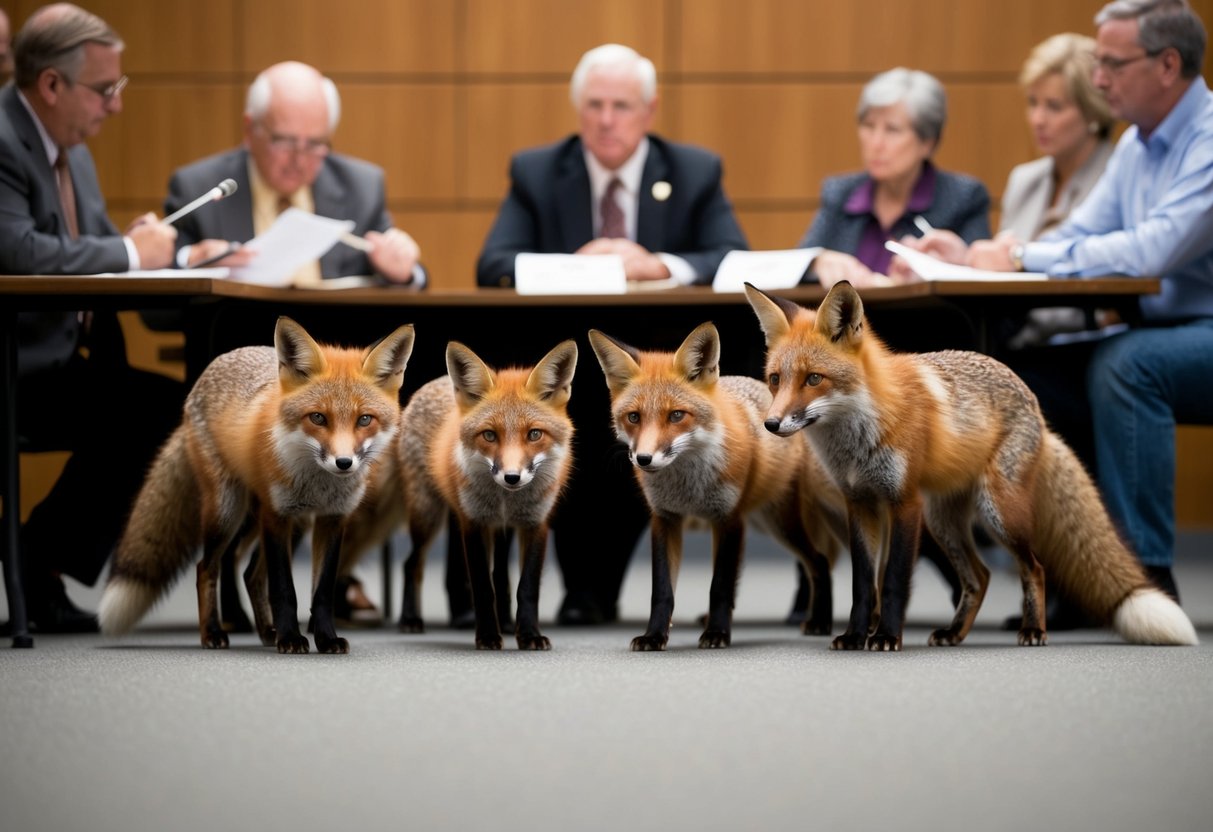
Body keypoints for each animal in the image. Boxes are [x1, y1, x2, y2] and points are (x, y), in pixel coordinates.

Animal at [98, 317, 415, 654]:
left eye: (364, 419)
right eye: (318, 418)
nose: (344, 463)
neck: (319, 485)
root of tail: (216, 364)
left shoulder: (331, 518)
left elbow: (322, 591)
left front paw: (325, 638)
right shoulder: (276, 516)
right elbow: (284, 589)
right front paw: (290, 639)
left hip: (281, 522)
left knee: (250, 573)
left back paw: (267, 632)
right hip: (228, 512)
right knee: (207, 567)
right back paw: (213, 633)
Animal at [397, 339, 577, 650]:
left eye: (534, 434)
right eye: (489, 435)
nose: (512, 477)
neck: (506, 501)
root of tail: (435, 383)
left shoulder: (536, 523)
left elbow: (526, 587)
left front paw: (528, 634)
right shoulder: (474, 523)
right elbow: (483, 586)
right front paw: (488, 637)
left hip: (501, 531)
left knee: (502, 576)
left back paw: (505, 623)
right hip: (427, 513)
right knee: (411, 564)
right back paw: (410, 620)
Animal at [589, 323, 847, 651]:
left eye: (676, 415)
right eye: (634, 417)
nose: (644, 459)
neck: (688, 489)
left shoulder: (727, 518)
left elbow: (720, 586)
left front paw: (717, 634)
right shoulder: (665, 519)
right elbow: (662, 592)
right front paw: (655, 636)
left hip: (781, 523)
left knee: (820, 563)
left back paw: (819, 622)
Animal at [745, 280, 1197, 650]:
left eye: (813, 379)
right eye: (775, 379)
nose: (771, 424)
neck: (858, 436)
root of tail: (1036, 407)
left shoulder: (904, 503)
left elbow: (891, 582)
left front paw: (886, 637)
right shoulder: (861, 504)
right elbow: (862, 585)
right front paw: (856, 637)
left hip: (998, 514)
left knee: (1034, 568)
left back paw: (1034, 630)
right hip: (945, 521)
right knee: (980, 578)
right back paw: (954, 633)